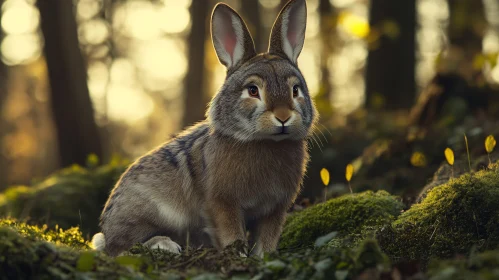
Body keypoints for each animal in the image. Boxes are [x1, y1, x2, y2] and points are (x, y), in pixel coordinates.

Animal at [92, 0, 318, 258]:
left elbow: (267, 238)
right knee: (121, 246)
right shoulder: (222, 203)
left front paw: (264, 257)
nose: (283, 117)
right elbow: (232, 233)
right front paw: (239, 257)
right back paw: (164, 244)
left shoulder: (274, 208)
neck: (266, 143)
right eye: (253, 90)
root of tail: (107, 226)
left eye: (295, 90)